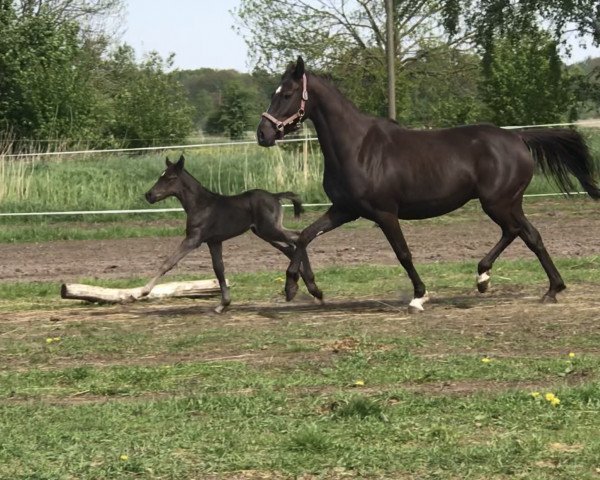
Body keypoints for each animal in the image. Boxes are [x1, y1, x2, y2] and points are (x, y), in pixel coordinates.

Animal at [138, 156, 312, 314]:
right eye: (161, 176)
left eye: (170, 177)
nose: (149, 195)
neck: (200, 205)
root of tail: (275, 196)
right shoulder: (214, 242)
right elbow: (219, 269)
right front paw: (223, 304)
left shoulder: (193, 239)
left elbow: (168, 262)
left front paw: (144, 291)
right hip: (266, 233)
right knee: (291, 247)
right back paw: (301, 285)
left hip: (269, 230)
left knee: (298, 237)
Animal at [255, 57, 596, 312]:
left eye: (286, 94)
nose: (263, 134)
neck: (357, 147)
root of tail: (518, 138)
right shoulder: (344, 210)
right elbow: (304, 236)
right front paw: (298, 287)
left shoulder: (384, 213)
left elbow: (403, 253)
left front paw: (419, 296)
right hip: (509, 203)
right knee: (529, 235)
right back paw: (545, 288)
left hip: (498, 203)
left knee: (517, 232)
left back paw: (488, 278)